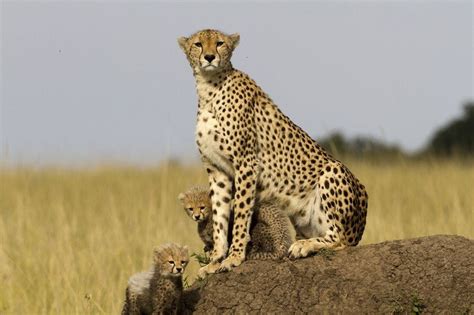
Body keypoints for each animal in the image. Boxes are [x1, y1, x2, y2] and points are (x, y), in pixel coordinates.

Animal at [178, 29, 366, 276]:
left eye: (219, 43)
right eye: (198, 44)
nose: (209, 57)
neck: (209, 88)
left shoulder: (246, 163)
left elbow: (241, 213)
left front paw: (235, 257)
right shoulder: (216, 170)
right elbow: (220, 216)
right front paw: (216, 260)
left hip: (333, 171)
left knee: (340, 238)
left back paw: (303, 246)